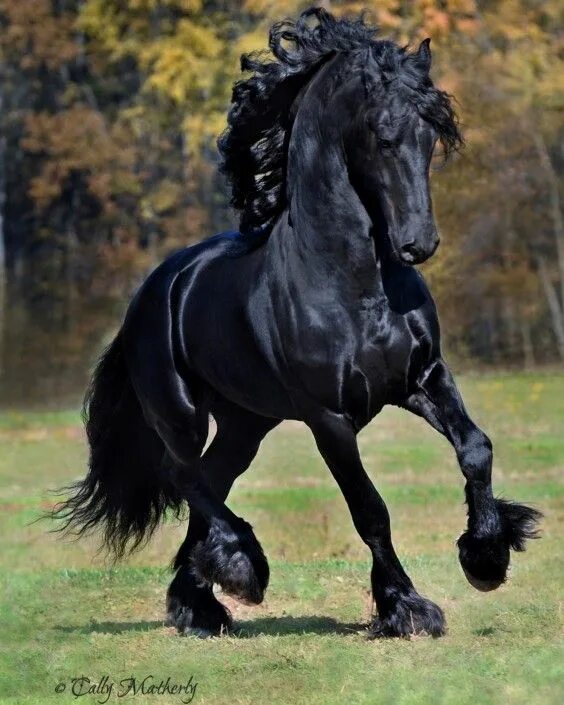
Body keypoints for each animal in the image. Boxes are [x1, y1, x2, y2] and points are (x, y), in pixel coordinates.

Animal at [54, 9, 540, 640]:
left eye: (432, 136)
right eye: (383, 136)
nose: (419, 243)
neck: (353, 283)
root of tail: (155, 289)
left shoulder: (423, 378)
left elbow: (476, 448)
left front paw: (486, 556)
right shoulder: (328, 417)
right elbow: (370, 509)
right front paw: (406, 607)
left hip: (246, 422)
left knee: (211, 478)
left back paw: (200, 603)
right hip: (181, 413)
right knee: (182, 474)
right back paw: (242, 569)